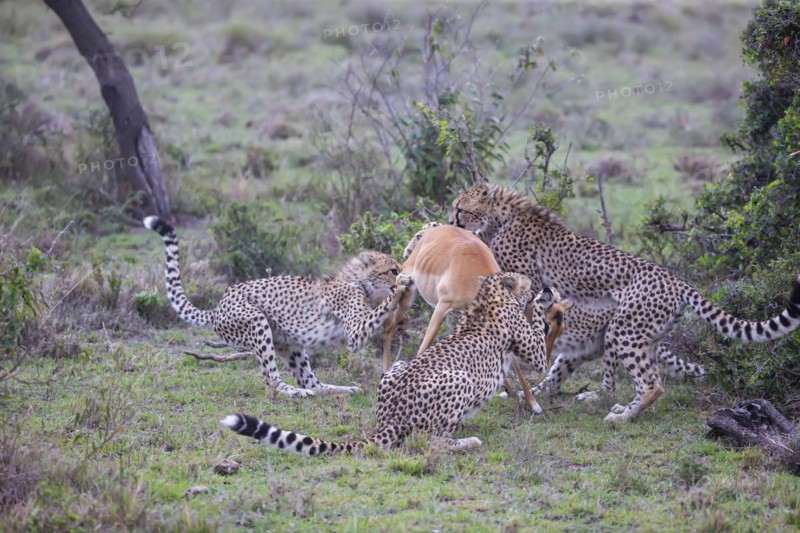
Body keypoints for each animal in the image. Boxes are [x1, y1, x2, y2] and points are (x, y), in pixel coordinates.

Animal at [143, 216, 412, 399]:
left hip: (289, 345)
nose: (404, 271)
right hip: (256, 322)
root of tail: (219, 304)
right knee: (271, 381)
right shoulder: (355, 332)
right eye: (392, 269)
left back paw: (341, 389)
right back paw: (294, 392)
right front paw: (401, 286)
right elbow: (379, 310)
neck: (361, 282)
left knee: (310, 382)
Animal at [221, 272, 552, 455]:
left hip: (398, 367)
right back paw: (468, 441)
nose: (541, 285)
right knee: (425, 442)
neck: (489, 296)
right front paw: (544, 299)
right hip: (460, 379)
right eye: (525, 279)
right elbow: (539, 334)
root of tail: (390, 417)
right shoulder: (534, 351)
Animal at [450, 183, 800, 422]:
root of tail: (676, 279)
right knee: (640, 379)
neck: (502, 216)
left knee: (651, 385)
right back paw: (618, 407)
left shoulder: (530, 283)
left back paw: (621, 417)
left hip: (623, 329)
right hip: (646, 337)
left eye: (460, 209)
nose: (452, 222)